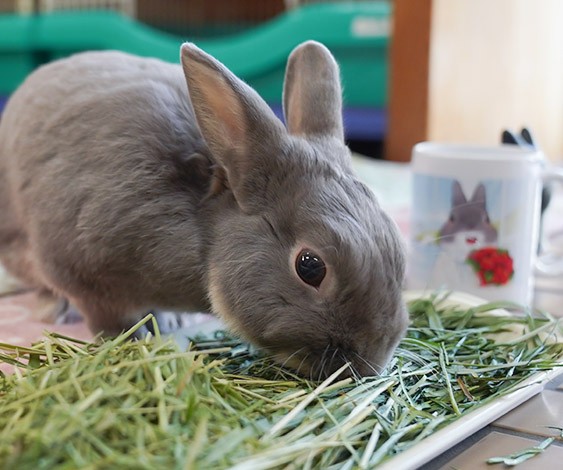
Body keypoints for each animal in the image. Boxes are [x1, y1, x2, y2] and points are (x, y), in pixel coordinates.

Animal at [0, 40, 408, 378]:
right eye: (310, 266)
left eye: (400, 254)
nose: (370, 364)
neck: (203, 232)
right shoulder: (85, 272)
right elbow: (107, 316)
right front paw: (132, 339)